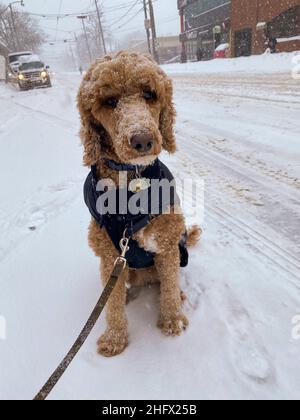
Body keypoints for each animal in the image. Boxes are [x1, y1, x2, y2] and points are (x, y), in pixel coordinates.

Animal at [78, 50, 199, 356]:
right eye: (109, 101)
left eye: (149, 94)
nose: (142, 140)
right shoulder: (109, 256)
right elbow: (111, 305)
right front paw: (114, 338)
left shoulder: (166, 246)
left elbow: (169, 288)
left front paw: (172, 320)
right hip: (124, 269)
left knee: (168, 282)